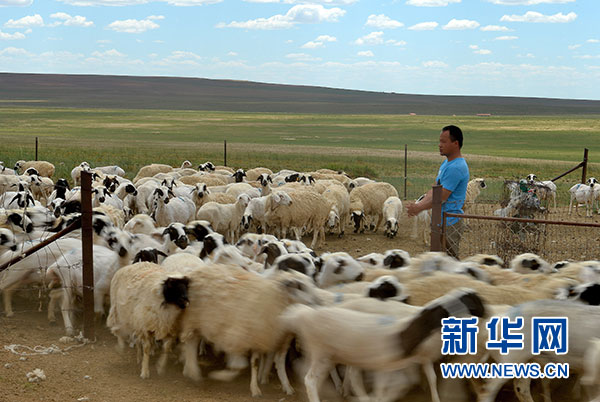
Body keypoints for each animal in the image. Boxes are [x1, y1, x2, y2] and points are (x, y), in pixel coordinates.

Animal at [179, 264, 324, 396]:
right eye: (300, 286)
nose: (318, 302)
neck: (275, 301)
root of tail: (198, 270)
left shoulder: (270, 340)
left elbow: (262, 364)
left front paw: (279, 386)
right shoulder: (237, 337)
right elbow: (240, 365)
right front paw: (220, 375)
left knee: (193, 342)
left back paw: (190, 369)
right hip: (193, 319)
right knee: (190, 343)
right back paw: (192, 371)